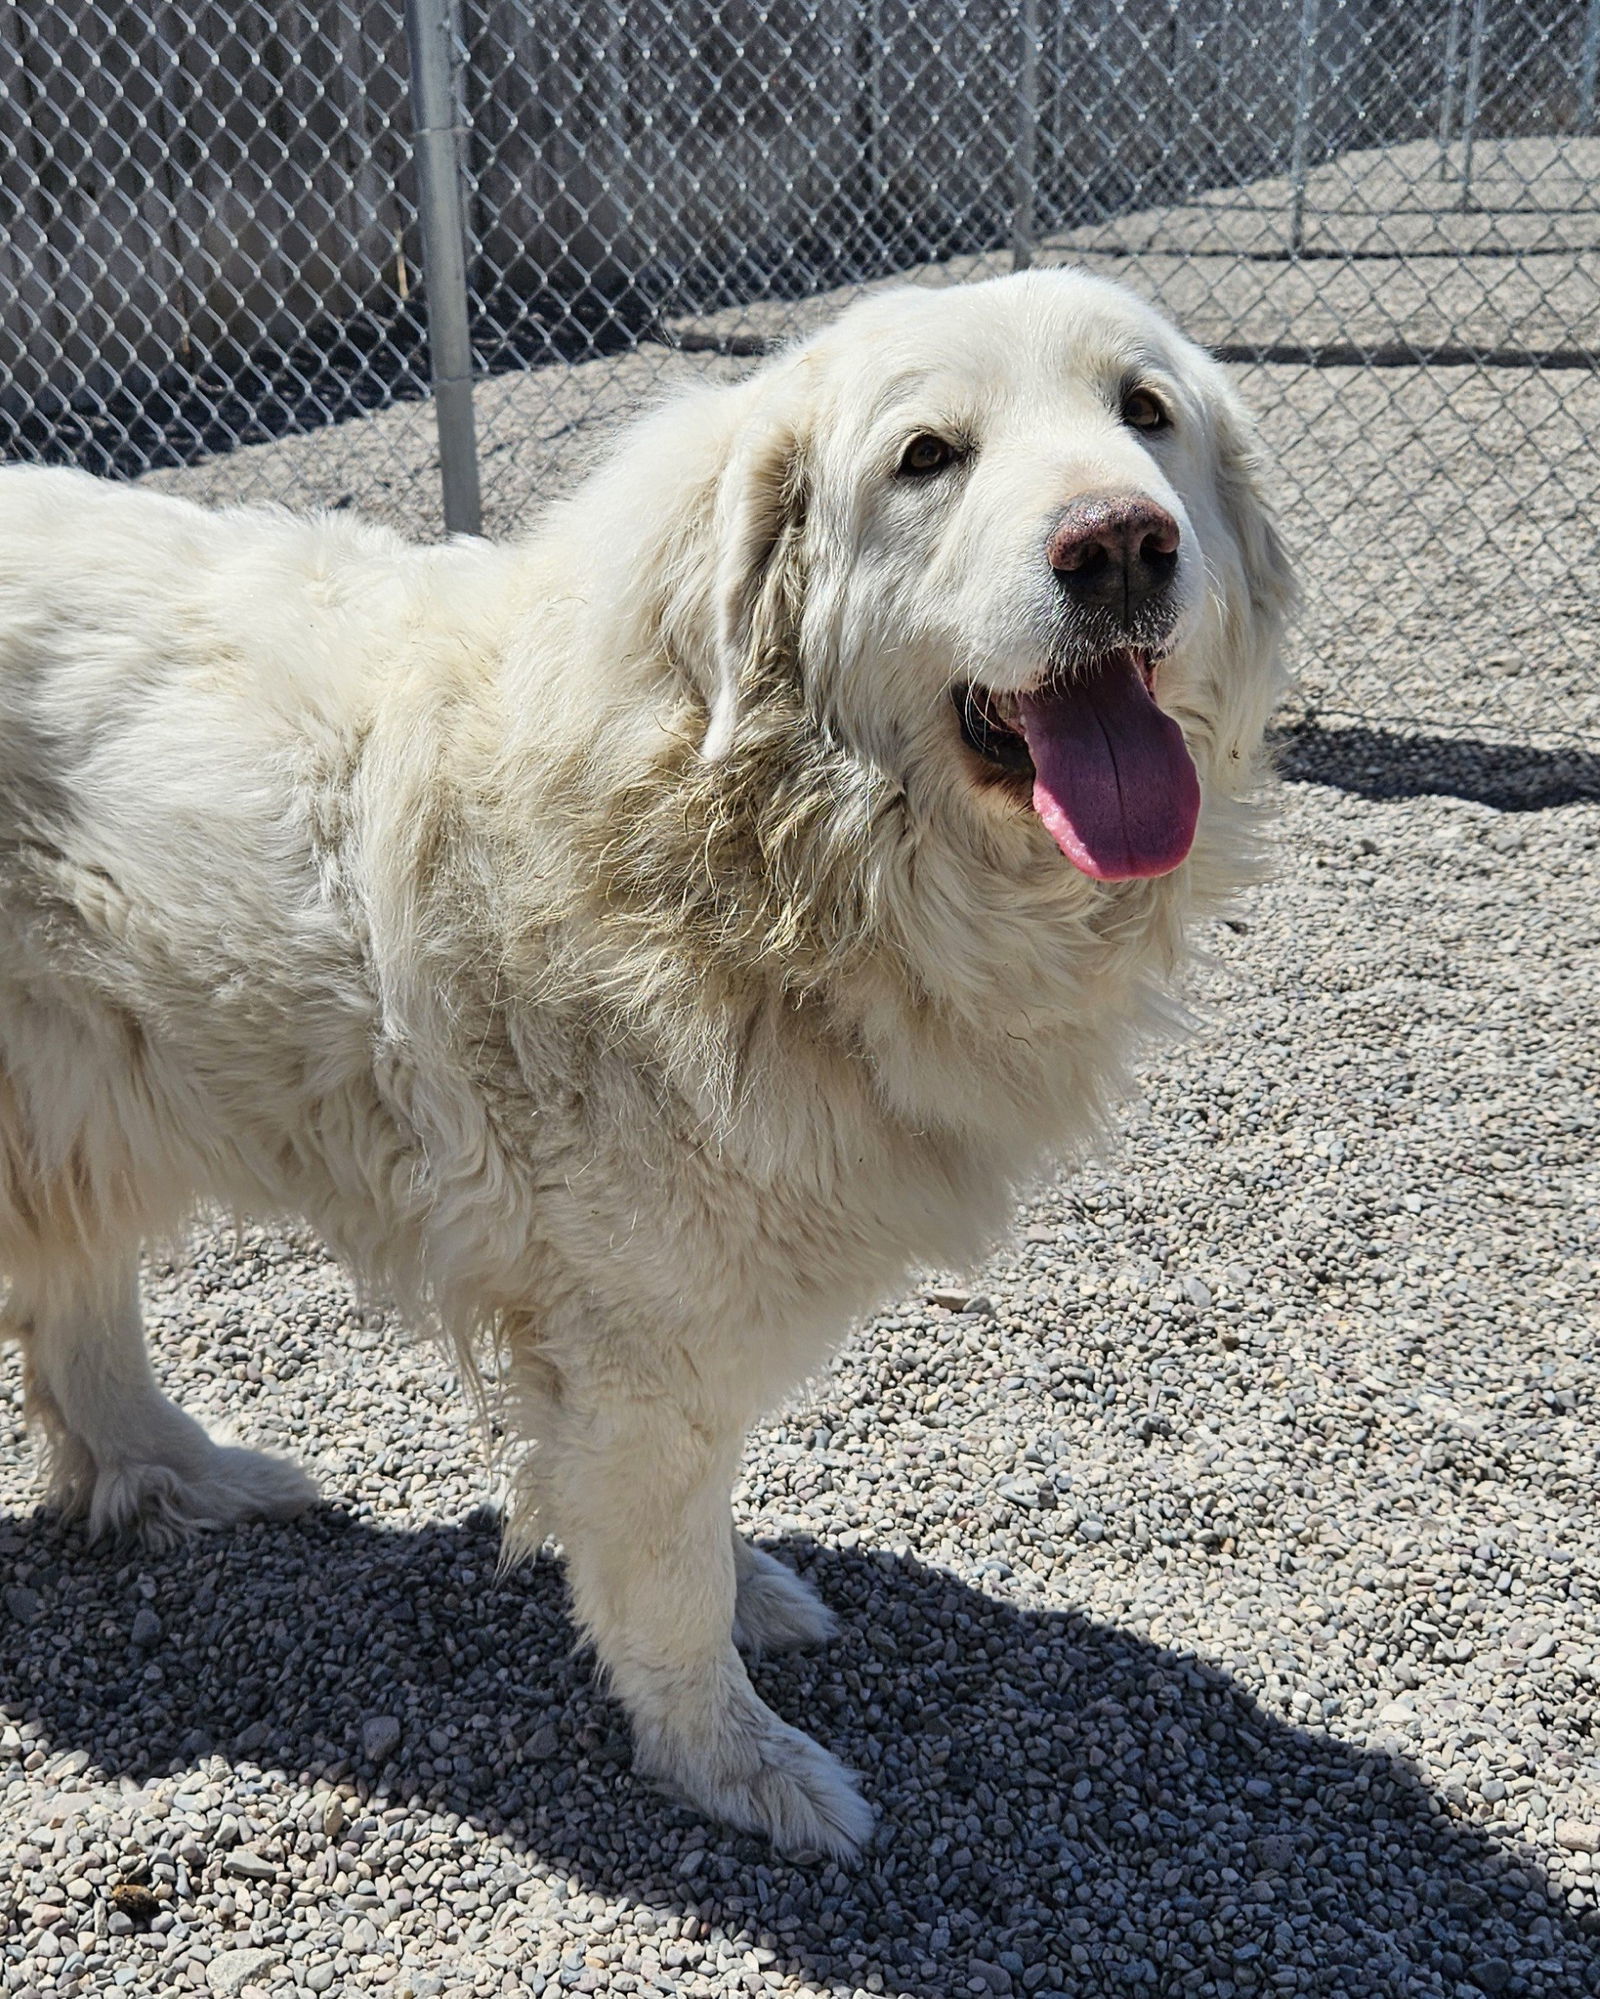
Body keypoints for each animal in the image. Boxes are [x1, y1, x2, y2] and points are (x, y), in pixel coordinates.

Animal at [0, 269, 1296, 1855]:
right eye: (928, 456)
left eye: (1145, 412)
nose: (1116, 542)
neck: (745, 836)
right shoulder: (638, 1336)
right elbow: (664, 1572)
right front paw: (735, 1761)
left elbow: (698, 1517)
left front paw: (753, 1603)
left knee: (77, 1302)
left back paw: (173, 1471)